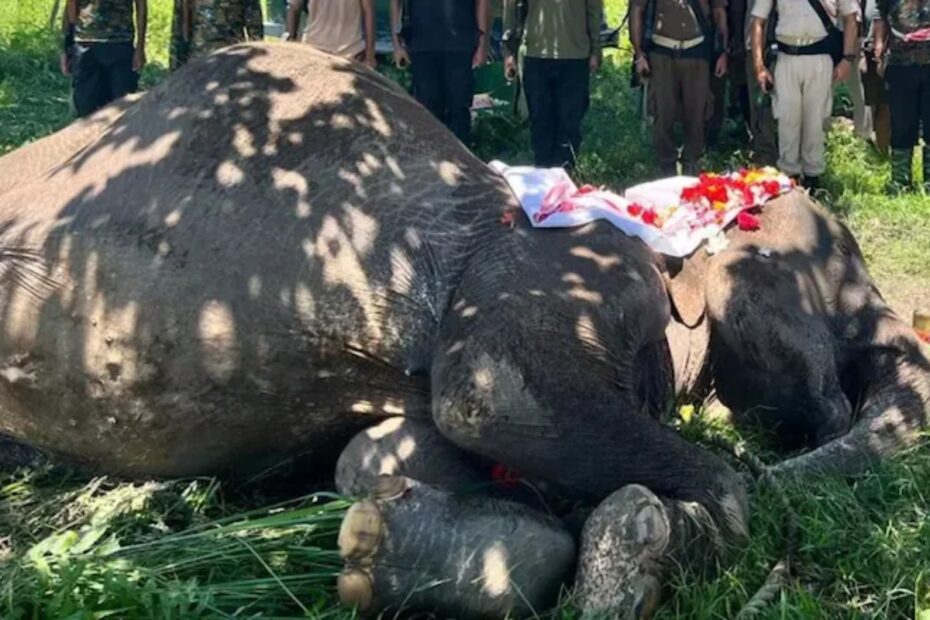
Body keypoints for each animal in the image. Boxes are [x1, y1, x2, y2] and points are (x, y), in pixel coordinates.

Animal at [0, 42, 927, 618]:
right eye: (837, 278)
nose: (829, 406)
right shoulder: (564, 269)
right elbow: (490, 392)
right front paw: (633, 553)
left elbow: (375, 455)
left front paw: (375, 535)